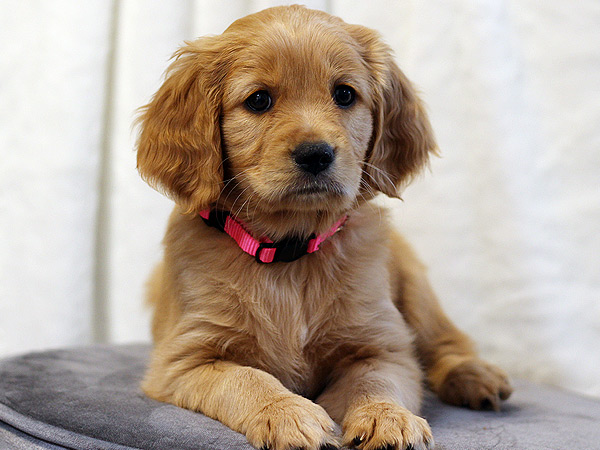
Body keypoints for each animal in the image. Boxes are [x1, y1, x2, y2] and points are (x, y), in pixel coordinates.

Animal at [136, 4, 510, 450]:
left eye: (344, 94)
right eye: (258, 100)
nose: (315, 154)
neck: (289, 254)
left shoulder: (383, 346)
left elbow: (375, 380)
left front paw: (388, 417)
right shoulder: (184, 359)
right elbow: (246, 379)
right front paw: (287, 414)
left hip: (414, 284)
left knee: (445, 340)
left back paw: (475, 376)